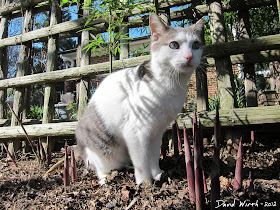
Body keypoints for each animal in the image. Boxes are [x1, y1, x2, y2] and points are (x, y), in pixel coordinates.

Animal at [75, 13, 205, 185]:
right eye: (174, 45)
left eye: (196, 45)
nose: (189, 56)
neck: (171, 84)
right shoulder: (135, 132)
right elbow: (142, 161)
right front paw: (145, 182)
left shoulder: (157, 131)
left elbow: (154, 155)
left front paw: (157, 173)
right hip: (103, 152)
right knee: (100, 167)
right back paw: (105, 179)